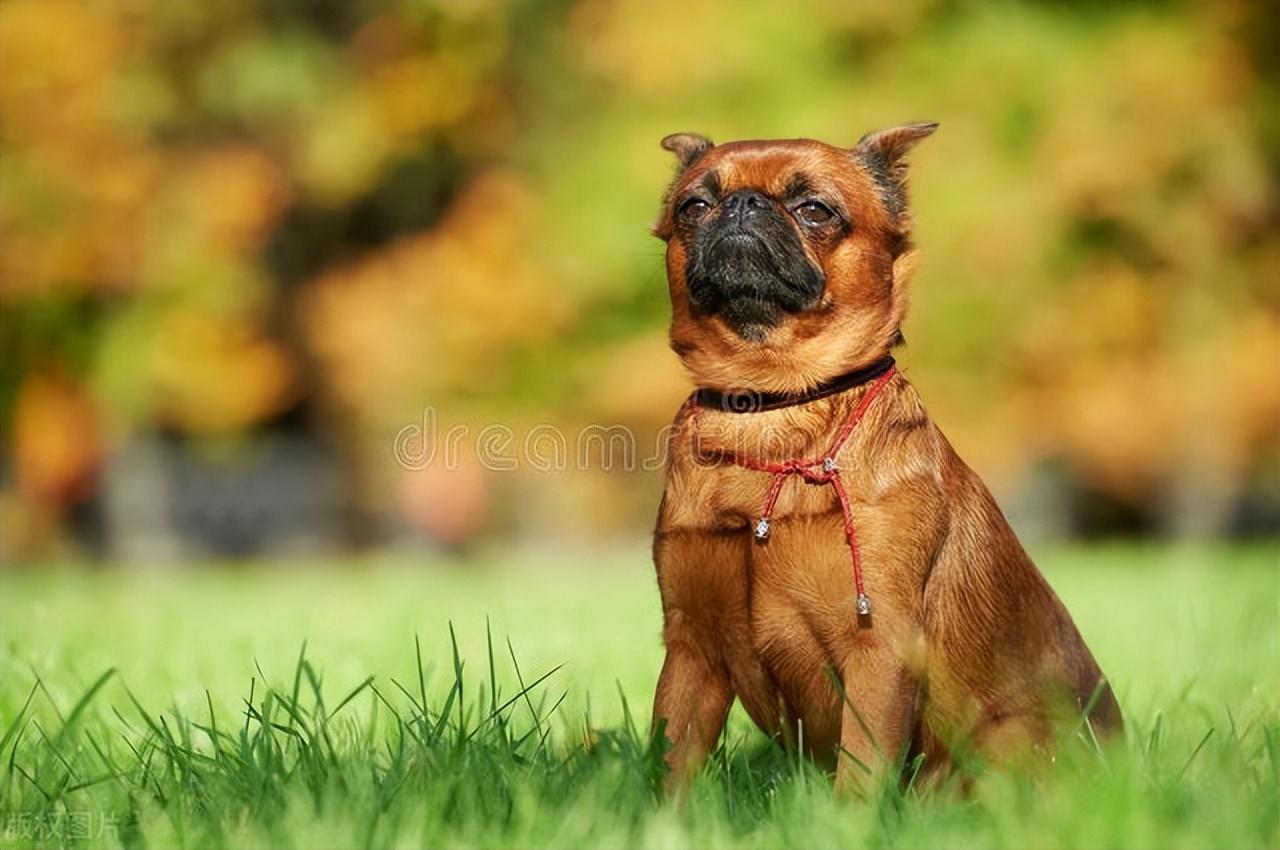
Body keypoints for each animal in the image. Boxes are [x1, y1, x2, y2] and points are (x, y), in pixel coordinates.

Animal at [650, 126, 1121, 798]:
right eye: (694, 206)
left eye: (815, 209)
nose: (742, 204)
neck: (771, 413)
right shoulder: (691, 649)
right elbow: (671, 765)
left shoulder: (879, 650)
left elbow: (861, 773)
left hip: (1004, 742)